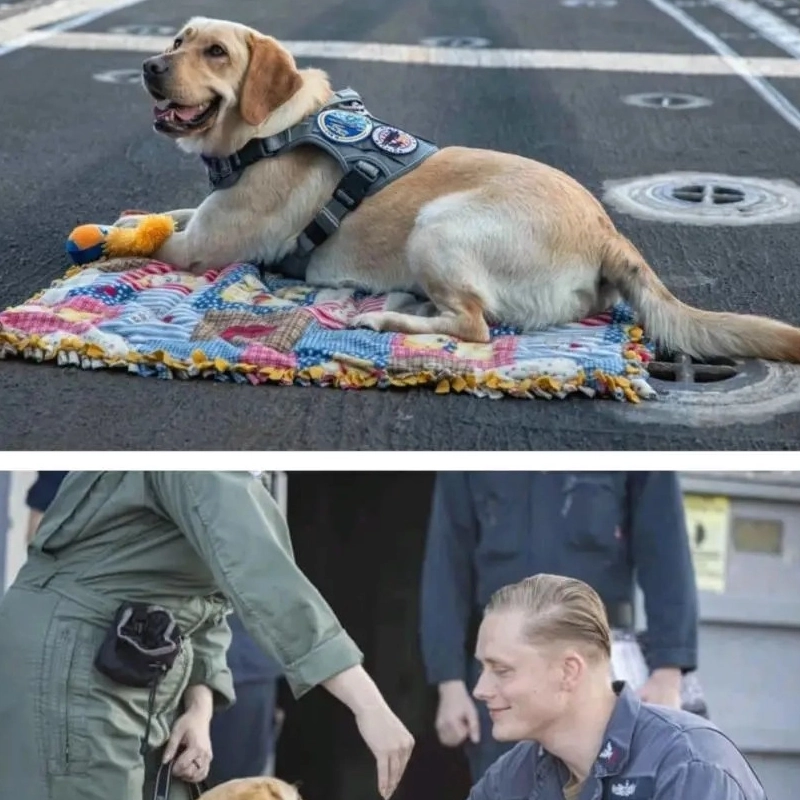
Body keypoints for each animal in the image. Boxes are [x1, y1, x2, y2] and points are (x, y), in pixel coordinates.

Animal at [119, 17, 800, 360]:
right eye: (176, 41)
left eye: (215, 52)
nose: (149, 66)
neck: (271, 129)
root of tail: (608, 232)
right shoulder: (203, 218)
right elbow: (165, 212)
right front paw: (134, 217)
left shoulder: (202, 250)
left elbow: (148, 240)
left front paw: (117, 240)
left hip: (438, 226)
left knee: (475, 327)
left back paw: (383, 321)